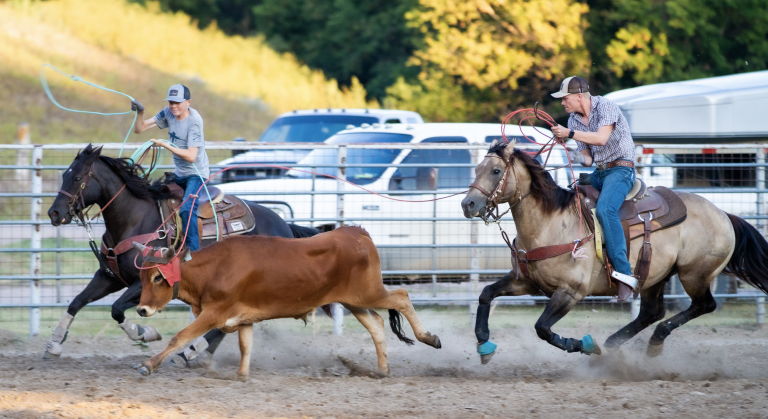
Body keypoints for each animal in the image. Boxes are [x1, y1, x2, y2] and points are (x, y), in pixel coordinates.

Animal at [45, 144, 321, 363]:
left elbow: (116, 308)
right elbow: (77, 301)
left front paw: (145, 333)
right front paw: (55, 343)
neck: (135, 219)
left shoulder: (145, 281)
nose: (54, 213)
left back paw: (191, 352)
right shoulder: (109, 277)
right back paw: (196, 354)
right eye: (64, 175)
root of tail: (285, 226)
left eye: (78, 178)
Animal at [131, 226, 441, 380]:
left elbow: (179, 338)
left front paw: (148, 365)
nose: (142, 309)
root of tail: (356, 232)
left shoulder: (214, 313)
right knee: (376, 324)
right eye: (141, 275)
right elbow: (245, 346)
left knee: (402, 297)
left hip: (369, 292)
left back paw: (430, 337)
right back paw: (382, 370)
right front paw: (241, 375)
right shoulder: (243, 317)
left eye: (157, 277)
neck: (215, 268)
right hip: (353, 300)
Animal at [461, 140, 768, 361]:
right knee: (652, 312)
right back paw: (615, 343)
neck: (551, 222)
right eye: (475, 169)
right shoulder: (526, 282)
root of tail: (724, 214)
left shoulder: (571, 291)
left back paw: (651, 340)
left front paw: (584, 344)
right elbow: (486, 294)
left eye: (496, 171)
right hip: (655, 276)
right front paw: (484, 343)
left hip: (694, 274)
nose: (468, 204)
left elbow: (543, 328)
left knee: (703, 305)